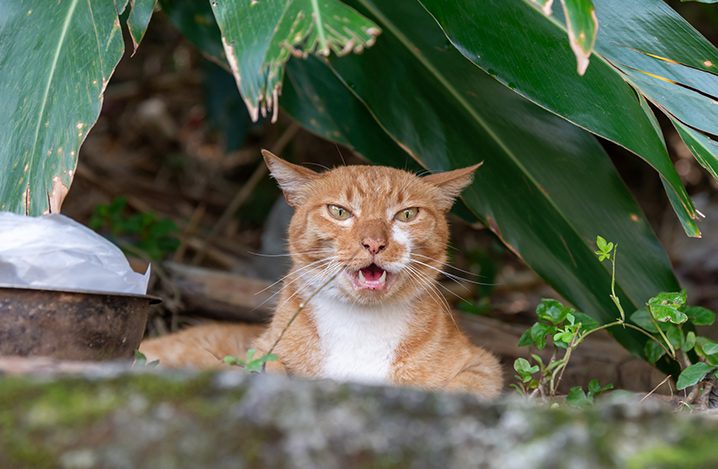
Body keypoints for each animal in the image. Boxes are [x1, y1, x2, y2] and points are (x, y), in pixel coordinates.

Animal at [139, 152, 500, 396]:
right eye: (339, 211)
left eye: (407, 215)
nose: (374, 243)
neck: (360, 325)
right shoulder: (258, 352)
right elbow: (265, 369)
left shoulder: (483, 366)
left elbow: (460, 388)